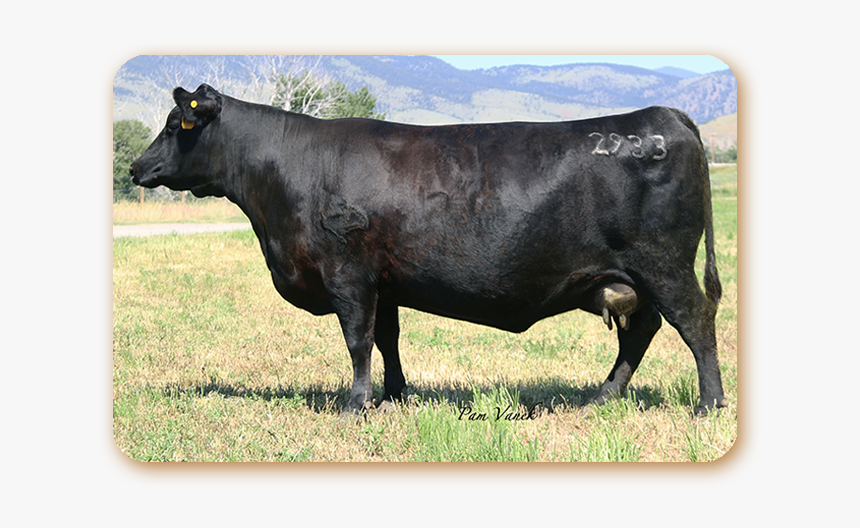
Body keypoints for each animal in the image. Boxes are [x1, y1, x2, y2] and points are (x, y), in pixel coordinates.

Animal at [130, 83, 729, 417]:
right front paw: (394, 395)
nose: (135, 167)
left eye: (174, 124)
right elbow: (388, 339)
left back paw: (709, 405)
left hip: (663, 264)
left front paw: (355, 406)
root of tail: (664, 115)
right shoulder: (385, 280)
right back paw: (602, 398)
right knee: (643, 331)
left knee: (695, 324)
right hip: (633, 276)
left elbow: (357, 341)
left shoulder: (347, 273)